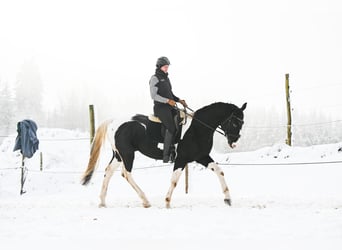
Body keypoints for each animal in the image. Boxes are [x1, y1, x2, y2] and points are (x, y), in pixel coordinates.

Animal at [81, 101, 247, 207]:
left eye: (242, 123)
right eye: (234, 122)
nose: (234, 142)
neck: (197, 128)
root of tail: (113, 122)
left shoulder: (201, 157)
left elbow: (220, 171)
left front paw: (228, 199)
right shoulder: (181, 159)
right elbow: (174, 180)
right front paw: (167, 201)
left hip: (118, 155)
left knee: (108, 172)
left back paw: (102, 202)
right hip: (127, 154)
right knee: (126, 174)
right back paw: (145, 201)